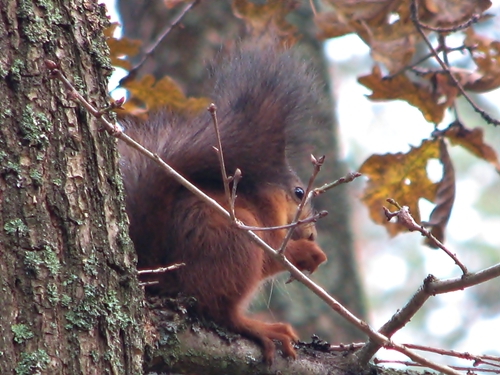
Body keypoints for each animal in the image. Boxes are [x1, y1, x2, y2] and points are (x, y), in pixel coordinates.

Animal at [118, 44, 328, 364]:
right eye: (298, 192)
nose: (312, 235)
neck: (264, 199)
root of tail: (166, 278)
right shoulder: (262, 227)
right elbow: (274, 256)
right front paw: (309, 253)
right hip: (236, 245)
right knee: (219, 311)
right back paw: (261, 328)